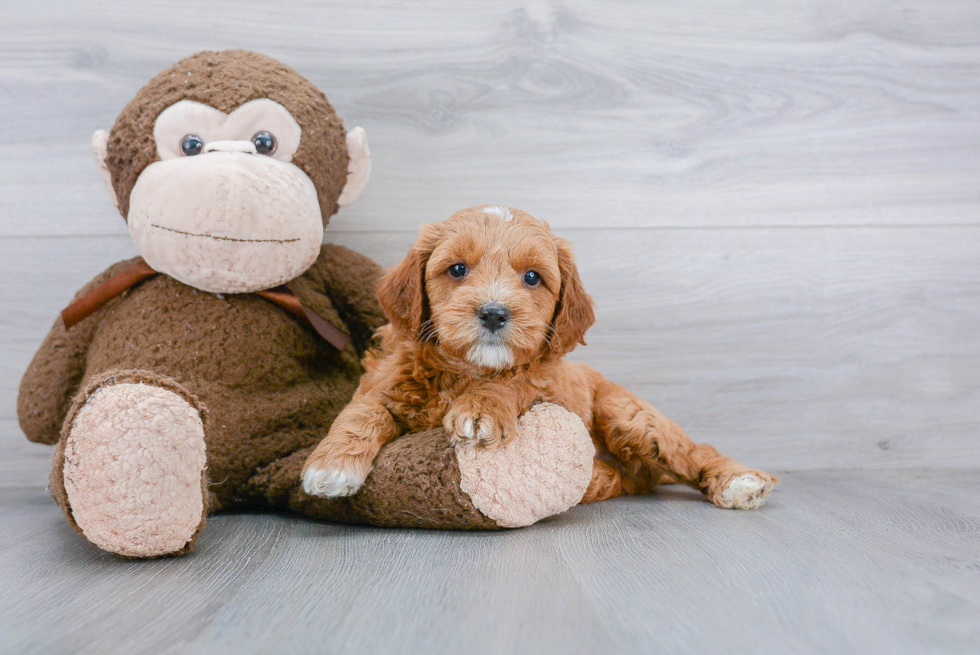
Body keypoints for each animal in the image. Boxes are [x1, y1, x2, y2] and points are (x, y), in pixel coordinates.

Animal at [302, 205, 776, 508]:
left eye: (532, 277)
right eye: (457, 269)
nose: (494, 313)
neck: (467, 370)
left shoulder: (544, 386)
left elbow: (512, 381)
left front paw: (481, 408)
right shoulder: (384, 382)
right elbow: (363, 411)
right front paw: (332, 466)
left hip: (628, 416)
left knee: (690, 450)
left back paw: (737, 482)